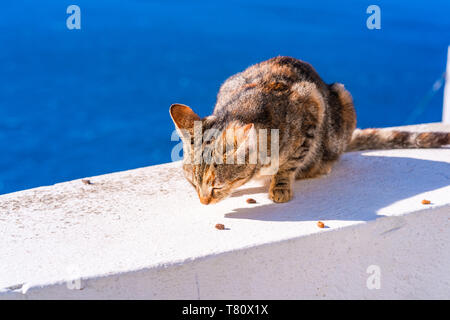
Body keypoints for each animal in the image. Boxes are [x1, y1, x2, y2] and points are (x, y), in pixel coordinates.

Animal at [170, 56, 450, 204]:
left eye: (216, 187)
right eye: (192, 184)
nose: (203, 201)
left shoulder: (310, 107)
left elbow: (289, 162)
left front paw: (280, 185)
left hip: (342, 98)